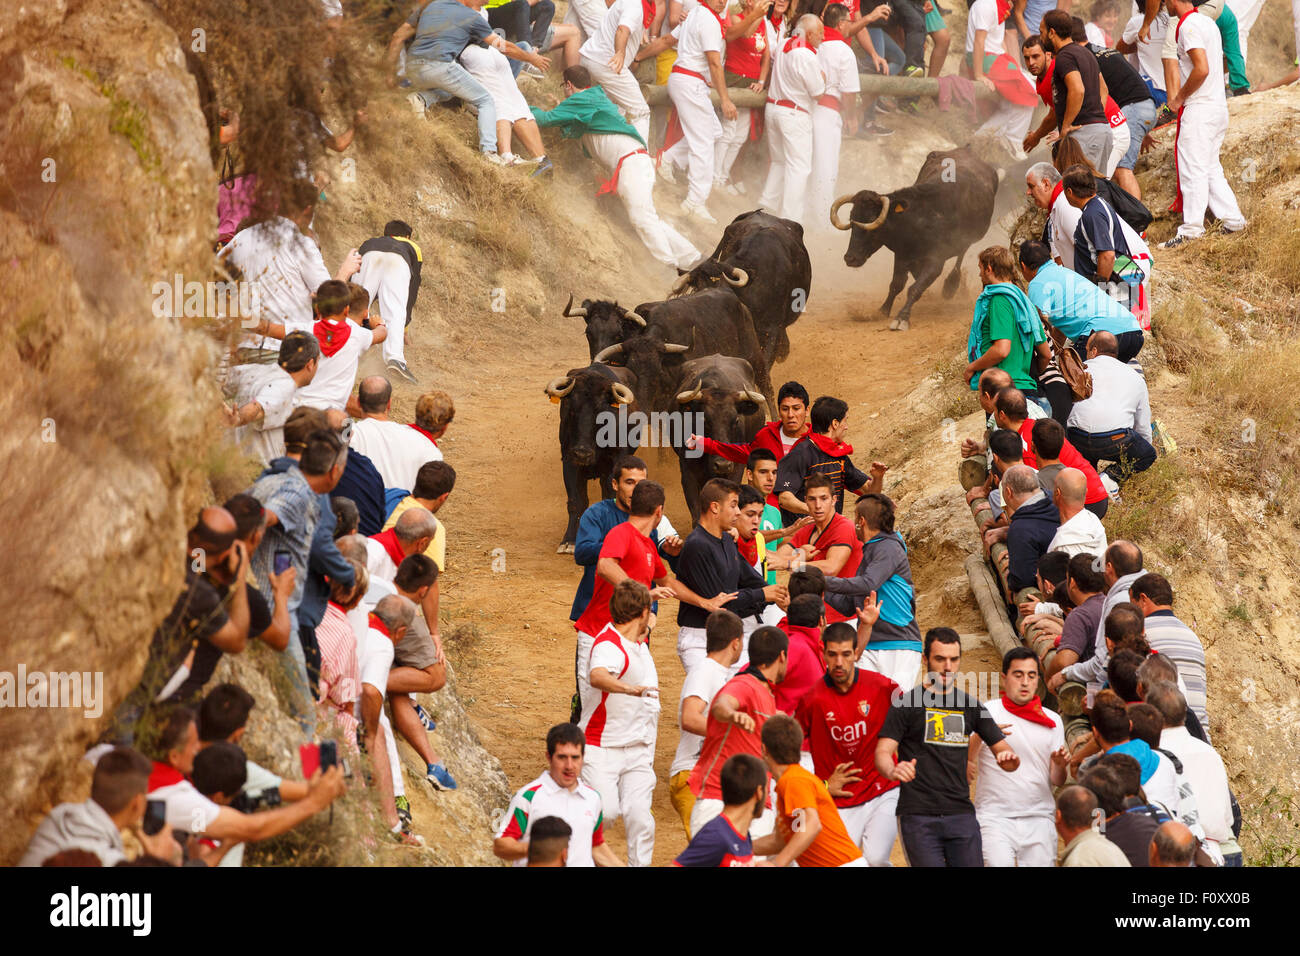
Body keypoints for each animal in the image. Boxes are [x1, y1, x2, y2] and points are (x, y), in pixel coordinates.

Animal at [826, 146, 998, 332]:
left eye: (872, 223)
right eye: (852, 218)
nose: (850, 258)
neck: (920, 218)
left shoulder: (936, 261)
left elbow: (914, 288)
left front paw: (902, 318)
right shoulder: (902, 254)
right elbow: (897, 284)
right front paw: (882, 310)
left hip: (969, 238)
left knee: (961, 254)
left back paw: (951, 285)